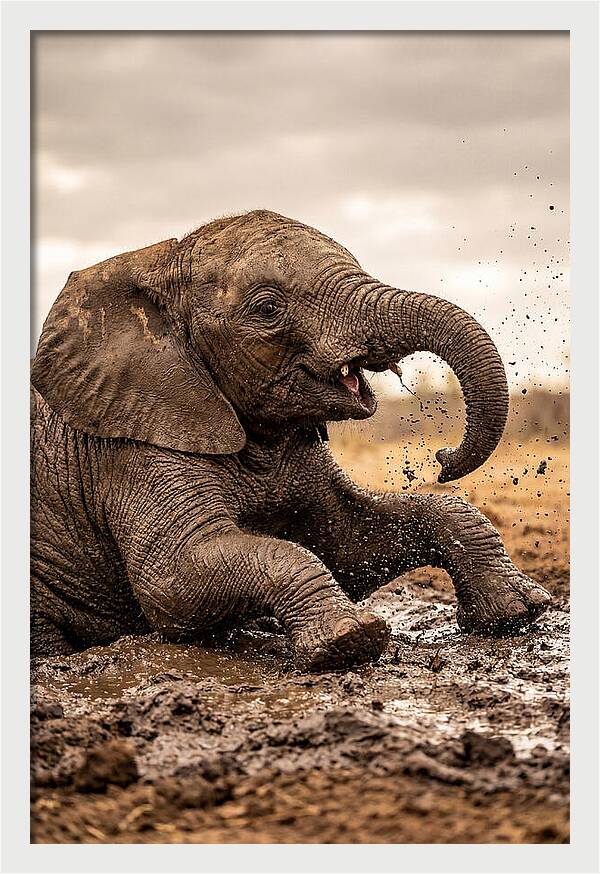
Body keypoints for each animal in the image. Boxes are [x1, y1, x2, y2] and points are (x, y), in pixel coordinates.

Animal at [30, 209, 551, 670]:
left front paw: (519, 612)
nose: (443, 458)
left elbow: (349, 543)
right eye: (267, 309)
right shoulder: (132, 448)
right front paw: (349, 641)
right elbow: (173, 582)